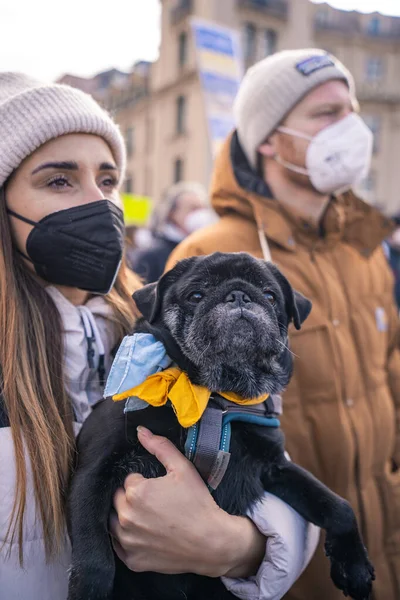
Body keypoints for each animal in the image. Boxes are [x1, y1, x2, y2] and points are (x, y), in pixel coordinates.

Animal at [66, 251, 376, 600]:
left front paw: (354, 567)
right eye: (196, 295)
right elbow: (93, 550)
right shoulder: (94, 470)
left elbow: (336, 506)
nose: (239, 294)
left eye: (270, 295)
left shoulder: (274, 467)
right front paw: (89, 587)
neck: (214, 397)